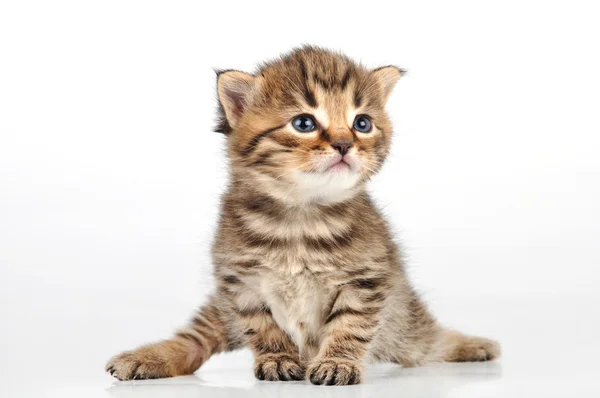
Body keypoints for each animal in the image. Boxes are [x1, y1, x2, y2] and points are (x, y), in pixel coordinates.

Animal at [105, 45, 500, 386]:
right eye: (304, 124)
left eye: (362, 123)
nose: (344, 144)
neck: (299, 216)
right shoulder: (241, 282)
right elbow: (262, 327)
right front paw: (278, 359)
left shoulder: (367, 280)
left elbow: (351, 325)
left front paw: (337, 363)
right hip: (219, 310)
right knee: (194, 338)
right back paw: (144, 357)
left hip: (405, 323)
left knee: (428, 340)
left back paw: (477, 345)